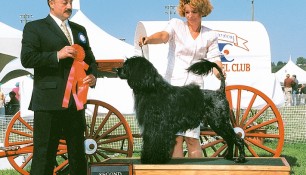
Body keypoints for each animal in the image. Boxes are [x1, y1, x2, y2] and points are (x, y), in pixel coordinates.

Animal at [117, 55, 246, 164]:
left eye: (127, 65)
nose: (117, 69)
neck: (152, 89)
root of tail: (220, 92)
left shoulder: (158, 126)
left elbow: (156, 142)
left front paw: (154, 159)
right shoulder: (152, 126)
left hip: (220, 121)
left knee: (238, 139)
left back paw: (241, 158)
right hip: (217, 124)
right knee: (230, 139)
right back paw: (229, 156)